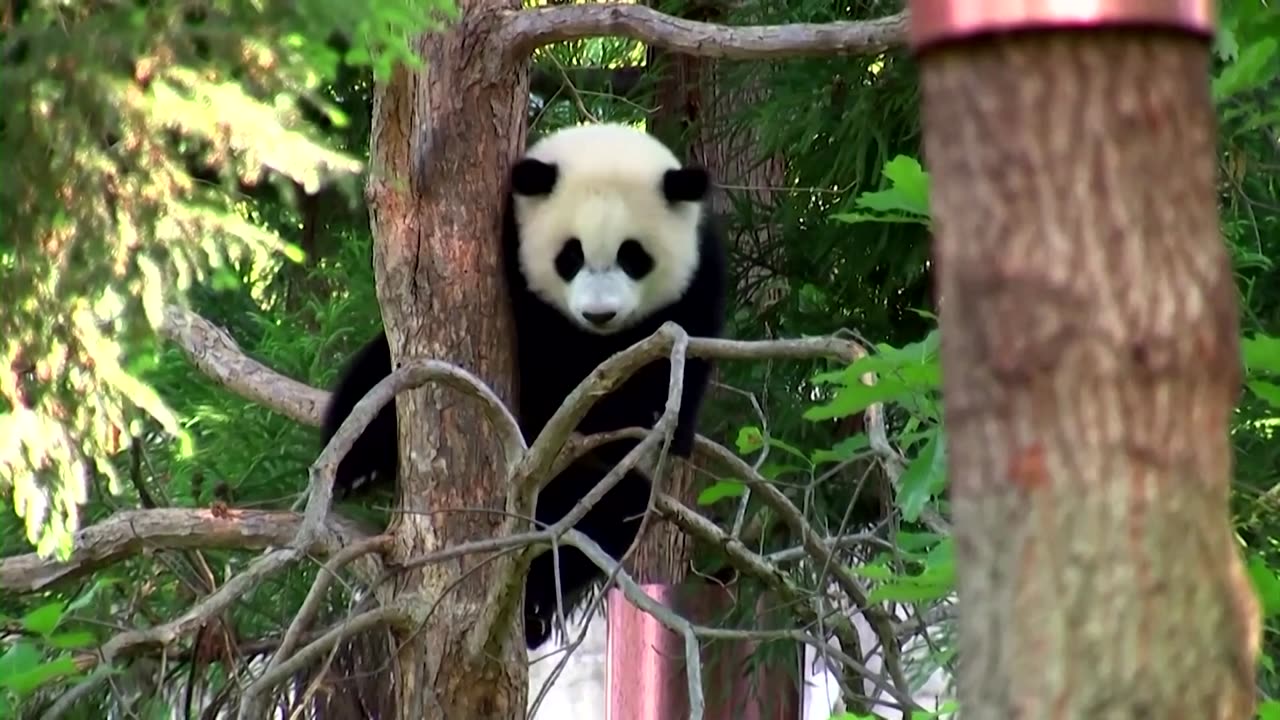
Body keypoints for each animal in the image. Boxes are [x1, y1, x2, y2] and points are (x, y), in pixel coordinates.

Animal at [318, 121, 727, 645]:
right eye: (570, 256)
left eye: (633, 256)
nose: (599, 314)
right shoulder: (514, 267)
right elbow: (543, 362)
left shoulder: (698, 279)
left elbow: (684, 355)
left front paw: (654, 416)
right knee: (376, 380)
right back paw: (356, 466)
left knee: (608, 514)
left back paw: (534, 602)